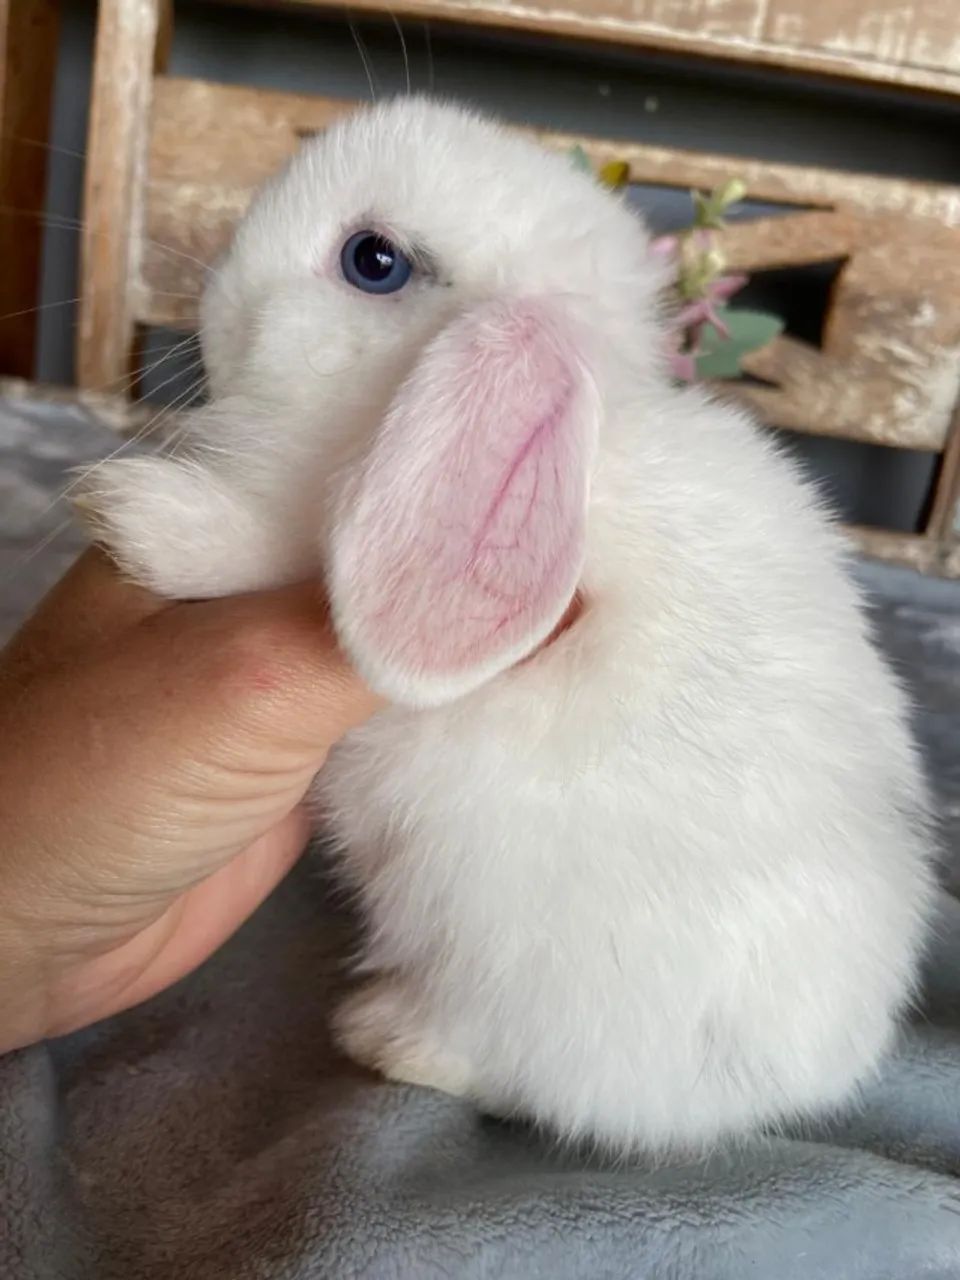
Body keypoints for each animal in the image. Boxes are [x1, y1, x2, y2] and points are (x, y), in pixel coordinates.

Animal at [75, 96, 936, 1155]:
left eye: (373, 261)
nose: (212, 306)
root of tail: (795, 1086)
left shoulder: (309, 536)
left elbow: (262, 549)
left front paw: (132, 513)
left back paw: (384, 1034)